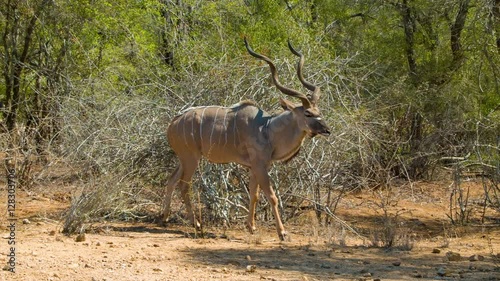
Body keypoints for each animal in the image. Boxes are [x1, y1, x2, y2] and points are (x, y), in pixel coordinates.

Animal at [162, 38, 330, 240]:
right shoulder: (260, 165)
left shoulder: (254, 167)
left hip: (183, 159)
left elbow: (254, 194)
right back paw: (196, 224)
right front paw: (282, 232)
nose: (327, 130)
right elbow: (272, 196)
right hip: (191, 159)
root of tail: (173, 122)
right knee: (183, 185)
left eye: (319, 111)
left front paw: (251, 227)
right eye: (307, 113)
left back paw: (164, 218)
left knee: (171, 180)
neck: (267, 128)